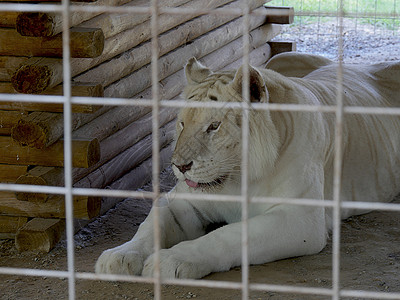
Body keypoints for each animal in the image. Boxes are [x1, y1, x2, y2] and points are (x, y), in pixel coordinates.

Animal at [95, 53, 400, 278]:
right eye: (182, 123)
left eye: (214, 126)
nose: (179, 166)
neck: (237, 179)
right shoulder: (182, 201)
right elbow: (151, 224)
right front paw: (121, 255)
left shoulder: (302, 219)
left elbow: (229, 235)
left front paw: (172, 259)